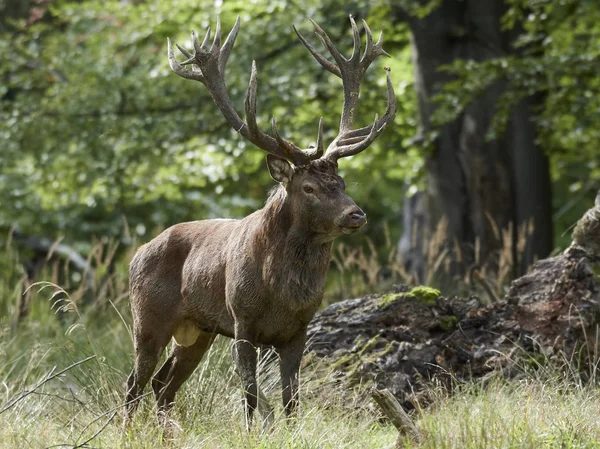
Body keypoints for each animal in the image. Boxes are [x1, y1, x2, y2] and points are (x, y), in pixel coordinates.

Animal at [124, 14, 396, 428]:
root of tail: (137, 254)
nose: (356, 214)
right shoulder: (242, 320)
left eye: (343, 182)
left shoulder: (299, 329)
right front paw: (252, 432)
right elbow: (250, 395)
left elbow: (291, 399)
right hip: (148, 319)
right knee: (134, 384)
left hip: (198, 331)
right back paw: (127, 431)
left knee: (163, 385)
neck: (281, 294)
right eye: (309, 187)